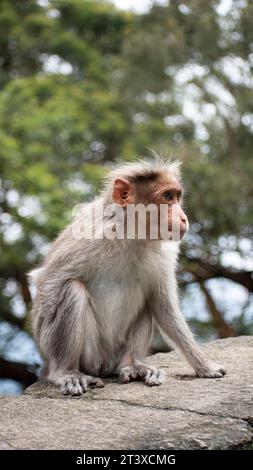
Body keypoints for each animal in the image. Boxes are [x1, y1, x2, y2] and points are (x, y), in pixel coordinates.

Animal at [29, 160, 225, 394]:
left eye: (178, 196)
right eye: (167, 197)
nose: (184, 217)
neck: (133, 236)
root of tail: (106, 365)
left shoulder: (164, 254)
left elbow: (163, 305)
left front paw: (204, 366)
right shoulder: (90, 236)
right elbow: (47, 280)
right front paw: (55, 369)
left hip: (117, 353)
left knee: (148, 302)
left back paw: (132, 365)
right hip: (92, 356)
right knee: (72, 288)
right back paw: (65, 371)